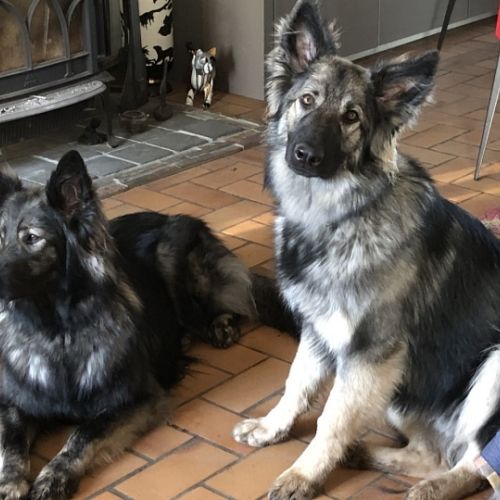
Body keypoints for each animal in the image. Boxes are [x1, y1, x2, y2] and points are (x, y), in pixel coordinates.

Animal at [0, 150, 294, 500]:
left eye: (32, 238)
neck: (58, 333)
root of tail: (168, 217)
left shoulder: (136, 400)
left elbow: (81, 436)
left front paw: (53, 477)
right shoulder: (12, 404)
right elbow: (11, 444)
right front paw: (9, 483)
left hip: (172, 256)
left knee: (236, 300)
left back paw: (219, 326)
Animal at [233, 1, 500, 499]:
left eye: (352, 116)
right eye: (307, 100)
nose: (305, 155)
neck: (340, 218)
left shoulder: (368, 357)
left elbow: (331, 420)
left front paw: (303, 474)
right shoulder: (321, 332)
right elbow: (296, 384)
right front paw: (272, 428)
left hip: (489, 366)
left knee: (479, 464)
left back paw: (432, 488)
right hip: (405, 389)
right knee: (434, 454)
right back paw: (368, 456)